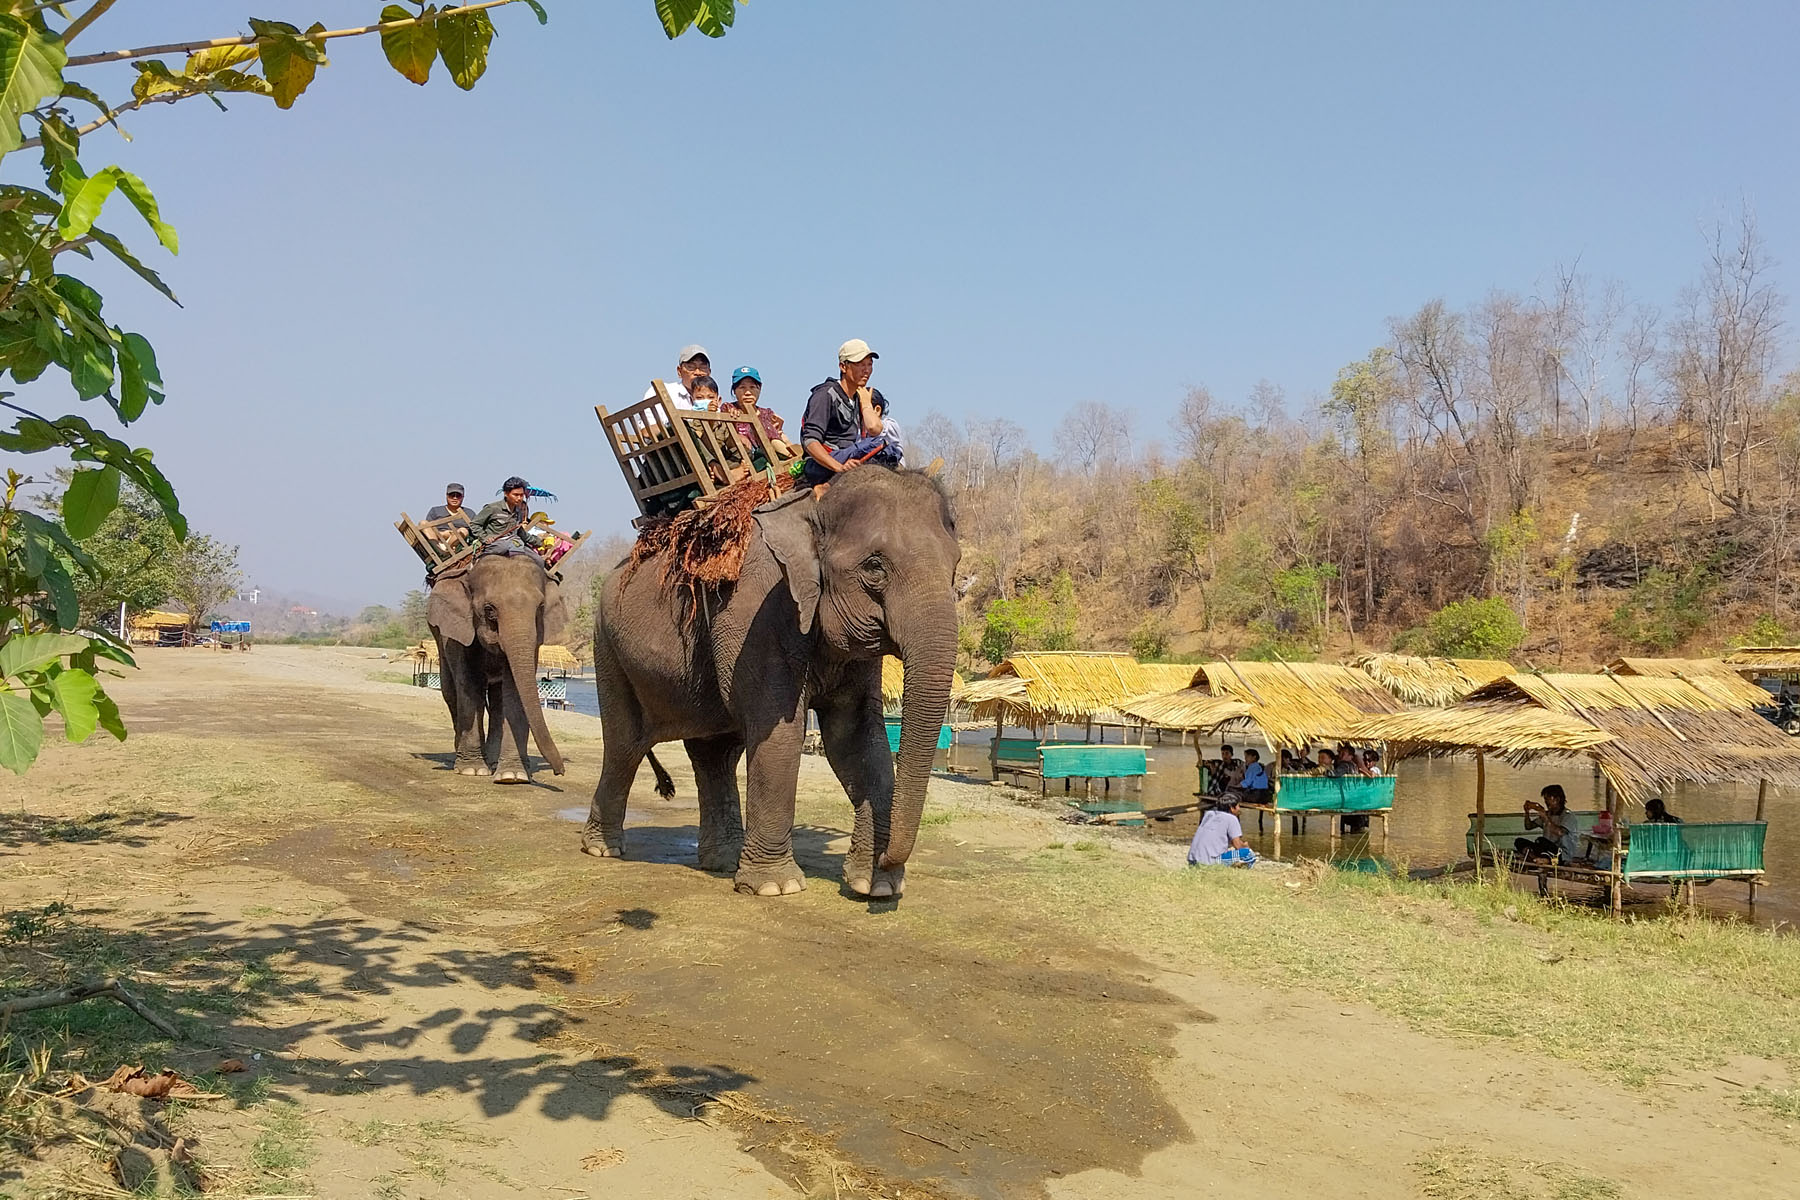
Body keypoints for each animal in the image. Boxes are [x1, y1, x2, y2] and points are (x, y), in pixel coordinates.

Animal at [427, 551, 569, 783]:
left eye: (540, 608)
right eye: (489, 610)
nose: (560, 771)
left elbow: (513, 689)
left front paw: (513, 776)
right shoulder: (459, 632)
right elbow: (469, 684)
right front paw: (472, 770)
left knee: (496, 700)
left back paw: (495, 762)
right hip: (438, 634)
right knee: (450, 690)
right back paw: (462, 756)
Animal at [582, 466, 960, 899]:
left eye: (955, 566)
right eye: (874, 568)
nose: (888, 861)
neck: (812, 505)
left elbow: (857, 739)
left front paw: (876, 887)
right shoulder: (758, 616)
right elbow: (781, 732)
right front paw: (776, 888)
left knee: (714, 753)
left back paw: (722, 861)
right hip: (608, 649)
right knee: (625, 745)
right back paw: (602, 849)